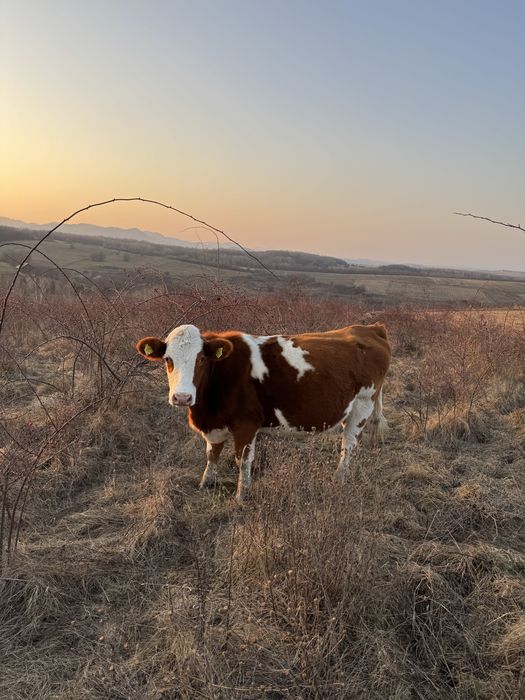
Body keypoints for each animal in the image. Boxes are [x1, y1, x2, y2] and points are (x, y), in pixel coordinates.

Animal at [136, 323, 391, 501]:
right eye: (168, 359)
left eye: (201, 359)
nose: (182, 397)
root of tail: (370, 328)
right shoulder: (215, 424)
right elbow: (212, 453)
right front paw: (205, 481)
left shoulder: (246, 424)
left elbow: (243, 460)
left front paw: (241, 495)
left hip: (363, 405)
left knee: (349, 444)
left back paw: (338, 477)